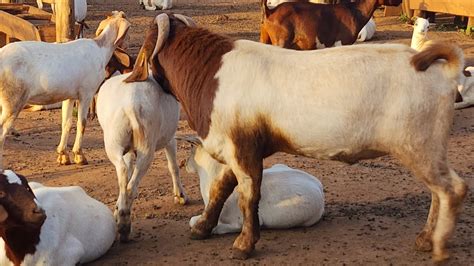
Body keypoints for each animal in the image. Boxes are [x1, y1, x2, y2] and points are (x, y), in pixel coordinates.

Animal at [0, 12, 131, 169]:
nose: (127, 46)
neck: (101, 50)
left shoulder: (70, 96)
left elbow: (66, 123)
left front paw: (63, 156)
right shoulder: (86, 93)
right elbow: (82, 123)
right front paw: (79, 156)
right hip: (13, 100)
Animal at [96, 72, 189, 241]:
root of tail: (130, 105)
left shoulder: (128, 150)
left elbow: (128, 168)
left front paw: (116, 208)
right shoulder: (170, 138)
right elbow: (173, 166)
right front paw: (180, 196)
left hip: (113, 141)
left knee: (123, 172)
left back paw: (122, 217)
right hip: (147, 143)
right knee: (131, 185)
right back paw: (125, 226)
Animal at [260, 0, 400, 49]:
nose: (399, 0)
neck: (355, 10)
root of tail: (270, 11)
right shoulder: (342, 43)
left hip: (265, 38)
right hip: (281, 42)